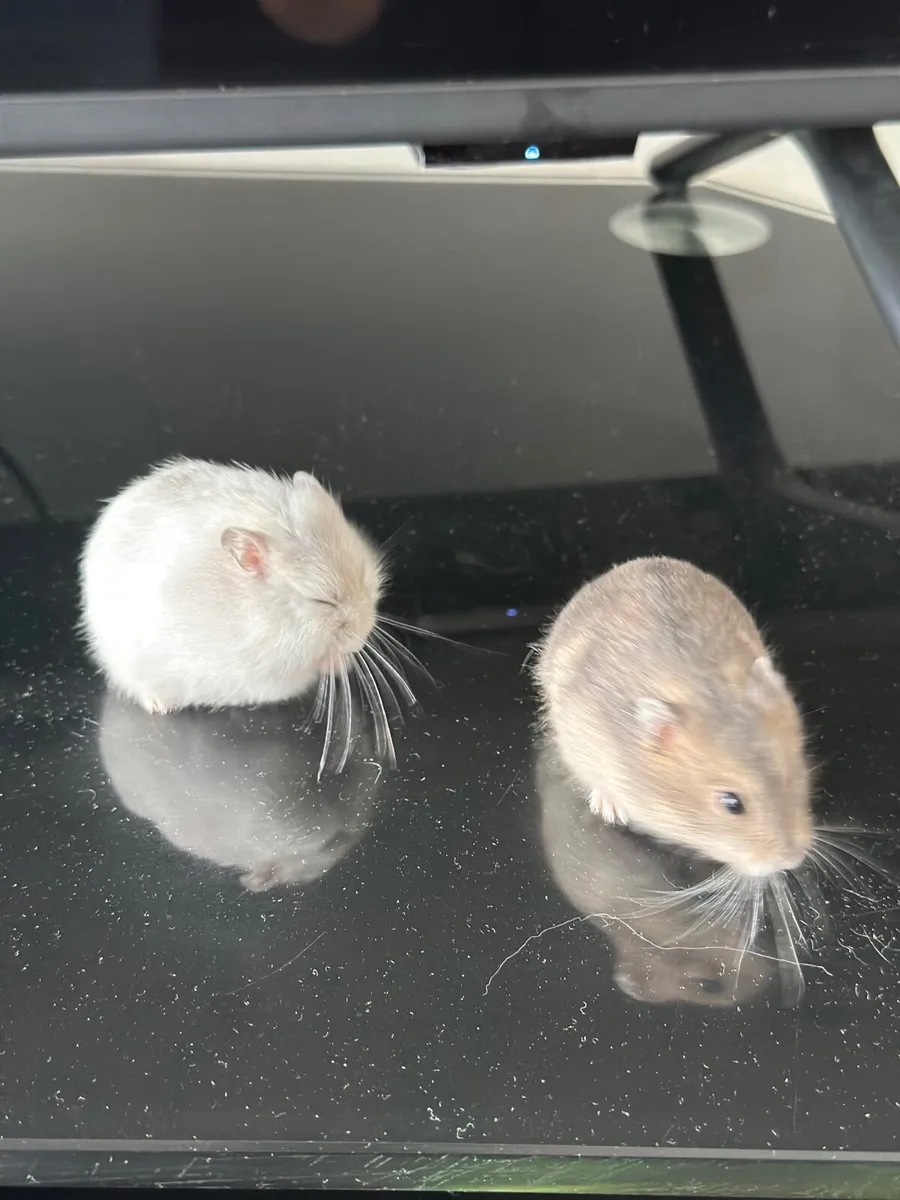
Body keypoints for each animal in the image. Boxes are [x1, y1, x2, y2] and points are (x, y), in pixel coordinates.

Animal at [80, 458, 385, 715]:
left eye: (364, 574)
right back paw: (160, 707)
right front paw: (336, 660)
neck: (273, 613)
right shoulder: (273, 672)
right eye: (322, 601)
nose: (363, 636)